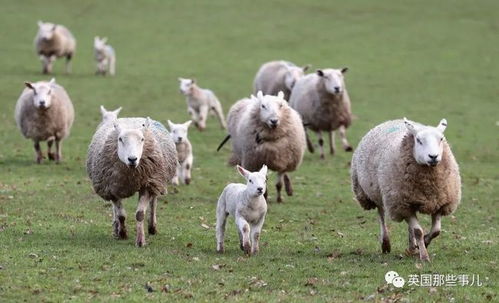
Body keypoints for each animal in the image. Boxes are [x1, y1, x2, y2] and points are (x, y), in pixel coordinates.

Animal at [86, 116, 178, 247]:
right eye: (120, 139)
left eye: (142, 139)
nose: (132, 159)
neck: (131, 173)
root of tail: (132, 118)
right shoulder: (112, 187)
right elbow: (121, 215)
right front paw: (122, 233)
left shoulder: (147, 185)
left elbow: (140, 214)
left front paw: (140, 241)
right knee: (115, 209)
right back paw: (116, 228)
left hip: (156, 179)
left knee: (154, 202)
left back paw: (152, 227)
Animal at [350, 117, 462, 262]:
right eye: (418, 140)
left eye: (441, 139)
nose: (433, 156)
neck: (428, 186)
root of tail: (392, 120)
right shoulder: (402, 205)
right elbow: (418, 231)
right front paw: (424, 255)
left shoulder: (440, 202)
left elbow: (436, 231)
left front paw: (423, 243)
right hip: (376, 193)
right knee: (381, 215)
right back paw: (386, 243)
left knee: (410, 227)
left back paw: (412, 247)